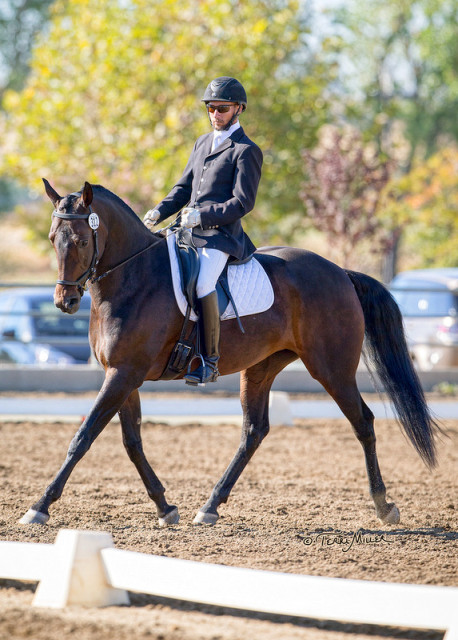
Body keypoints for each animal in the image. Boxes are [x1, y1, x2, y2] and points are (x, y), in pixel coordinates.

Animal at [19, 179, 438, 524]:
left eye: (82, 240)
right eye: (53, 238)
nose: (65, 302)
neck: (133, 279)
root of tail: (340, 272)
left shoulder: (124, 374)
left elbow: (84, 436)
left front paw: (39, 506)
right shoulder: (122, 375)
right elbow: (132, 442)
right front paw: (165, 507)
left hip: (331, 369)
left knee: (363, 422)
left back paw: (384, 505)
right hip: (261, 367)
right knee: (254, 430)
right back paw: (210, 506)